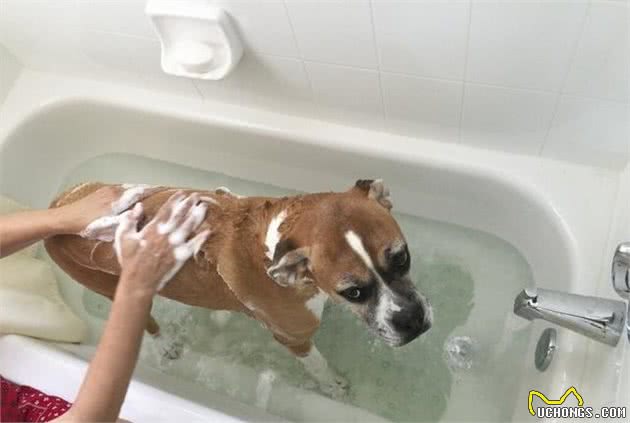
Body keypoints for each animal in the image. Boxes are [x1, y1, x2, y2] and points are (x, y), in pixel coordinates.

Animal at [45, 179, 433, 398]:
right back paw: (165, 342)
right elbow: (317, 364)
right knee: (147, 321)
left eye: (402, 257)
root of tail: (57, 206)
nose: (411, 321)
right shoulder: (293, 337)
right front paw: (332, 384)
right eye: (353, 292)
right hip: (113, 289)